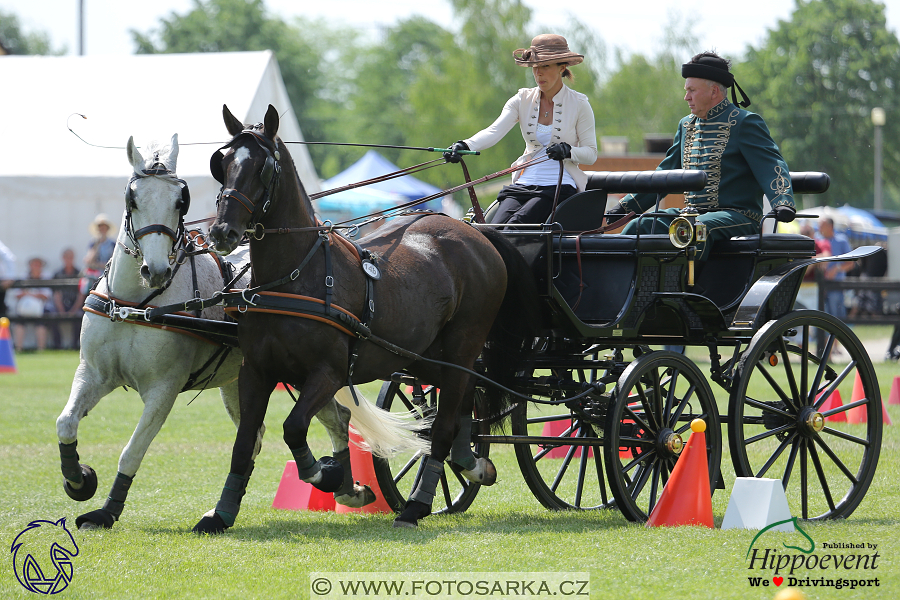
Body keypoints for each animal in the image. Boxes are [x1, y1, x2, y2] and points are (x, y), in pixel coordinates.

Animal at [57, 135, 426, 528]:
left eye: (180, 200)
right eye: (132, 198)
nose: (154, 270)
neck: (137, 302)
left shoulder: (163, 389)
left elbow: (132, 450)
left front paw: (106, 510)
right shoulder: (93, 373)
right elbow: (66, 423)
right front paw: (79, 480)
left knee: (334, 420)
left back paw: (343, 486)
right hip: (253, 378)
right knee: (280, 431)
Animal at [193, 105, 536, 532]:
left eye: (262, 167)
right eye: (221, 164)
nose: (222, 232)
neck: (294, 277)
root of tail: (476, 231)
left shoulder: (328, 372)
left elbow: (294, 427)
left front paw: (328, 475)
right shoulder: (255, 371)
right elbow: (244, 442)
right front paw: (221, 512)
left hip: (463, 343)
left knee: (444, 422)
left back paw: (416, 505)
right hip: (420, 354)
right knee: (461, 399)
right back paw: (471, 465)